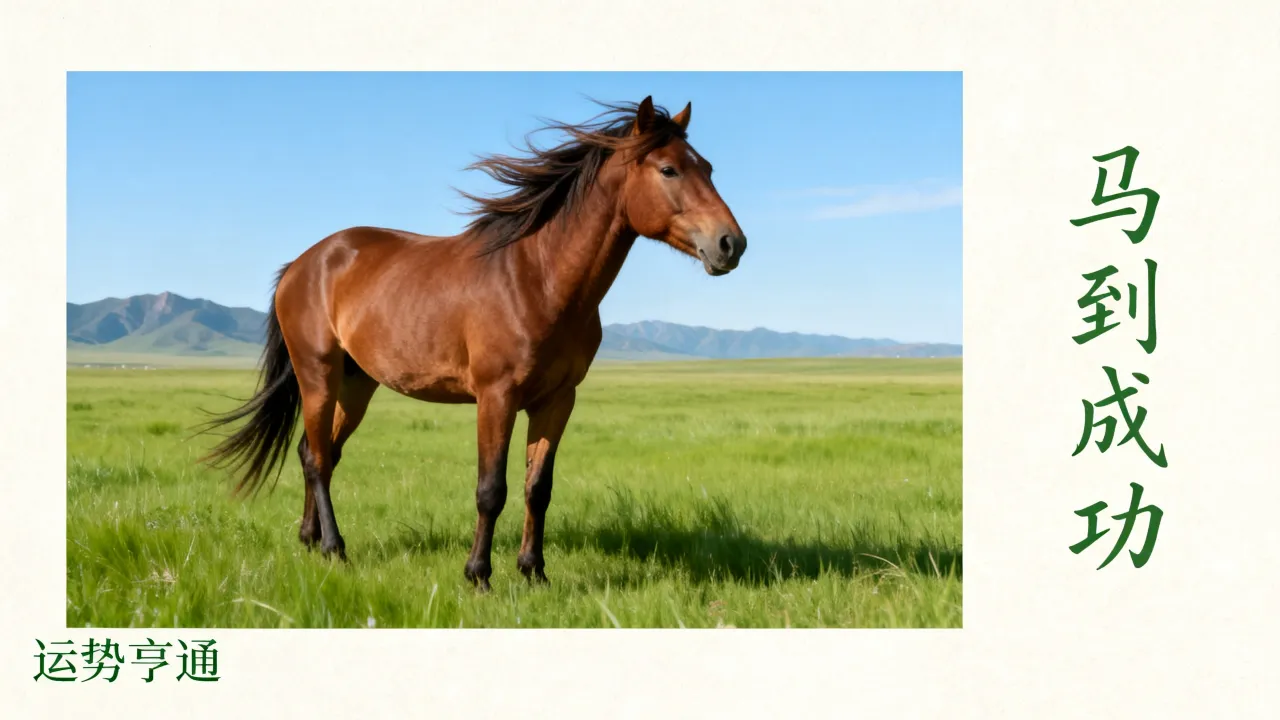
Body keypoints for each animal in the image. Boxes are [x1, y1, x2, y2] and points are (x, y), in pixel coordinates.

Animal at [199, 96, 746, 591]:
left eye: (708, 167)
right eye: (669, 169)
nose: (731, 244)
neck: (539, 278)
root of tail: (303, 263)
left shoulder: (557, 401)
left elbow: (537, 489)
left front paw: (534, 573)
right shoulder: (495, 397)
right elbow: (491, 489)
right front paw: (479, 576)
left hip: (357, 384)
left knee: (318, 453)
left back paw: (310, 541)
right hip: (318, 374)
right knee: (315, 459)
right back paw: (336, 549)